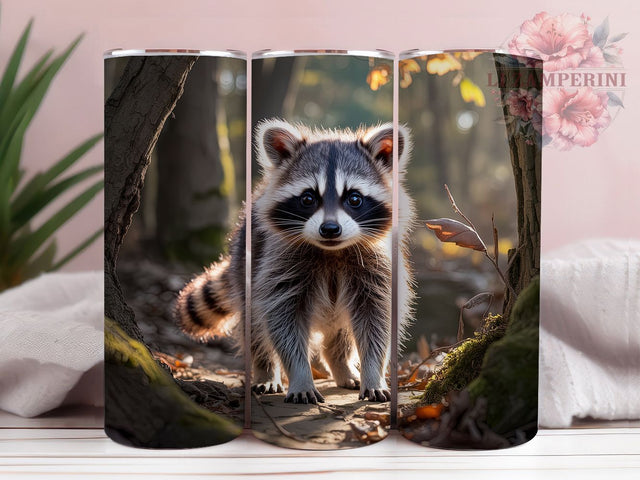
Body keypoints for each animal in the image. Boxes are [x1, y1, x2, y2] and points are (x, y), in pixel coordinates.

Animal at [175, 119, 415, 404]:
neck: (331, 251)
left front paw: (373, 372)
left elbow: (377, 319)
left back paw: (341, 364)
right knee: (255, 326)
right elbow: (282, 320)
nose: (330, 229)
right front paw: (300, 376)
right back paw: (266, 369)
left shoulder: (376, 266)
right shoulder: (278, 263)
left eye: (354, 198)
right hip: (245, 264)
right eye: (308, 198)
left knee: (341, 332)